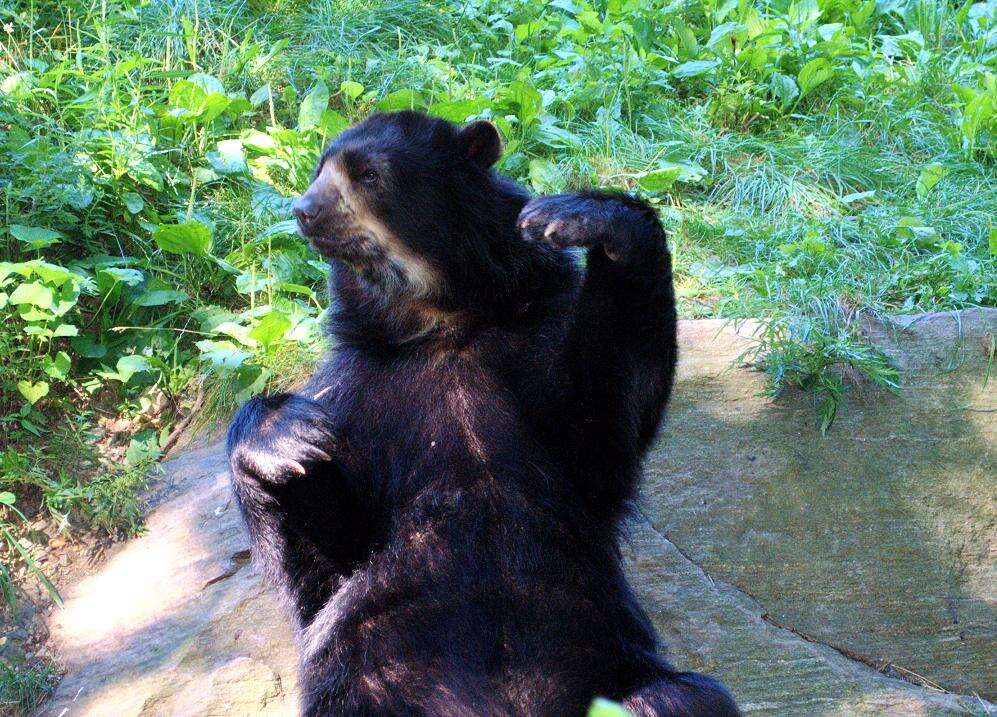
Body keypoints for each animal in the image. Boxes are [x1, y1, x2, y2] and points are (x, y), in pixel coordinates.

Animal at [228, 112, 740, 716]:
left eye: (369, 174)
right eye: (317, 170)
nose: (303, 210)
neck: (441, 323)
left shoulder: (534, 344)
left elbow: (606, 420)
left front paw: (579, 217)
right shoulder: (359, 393)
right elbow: (324, 563)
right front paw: (288, 436)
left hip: (608, 657)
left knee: (678, 696)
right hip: (368, 677)